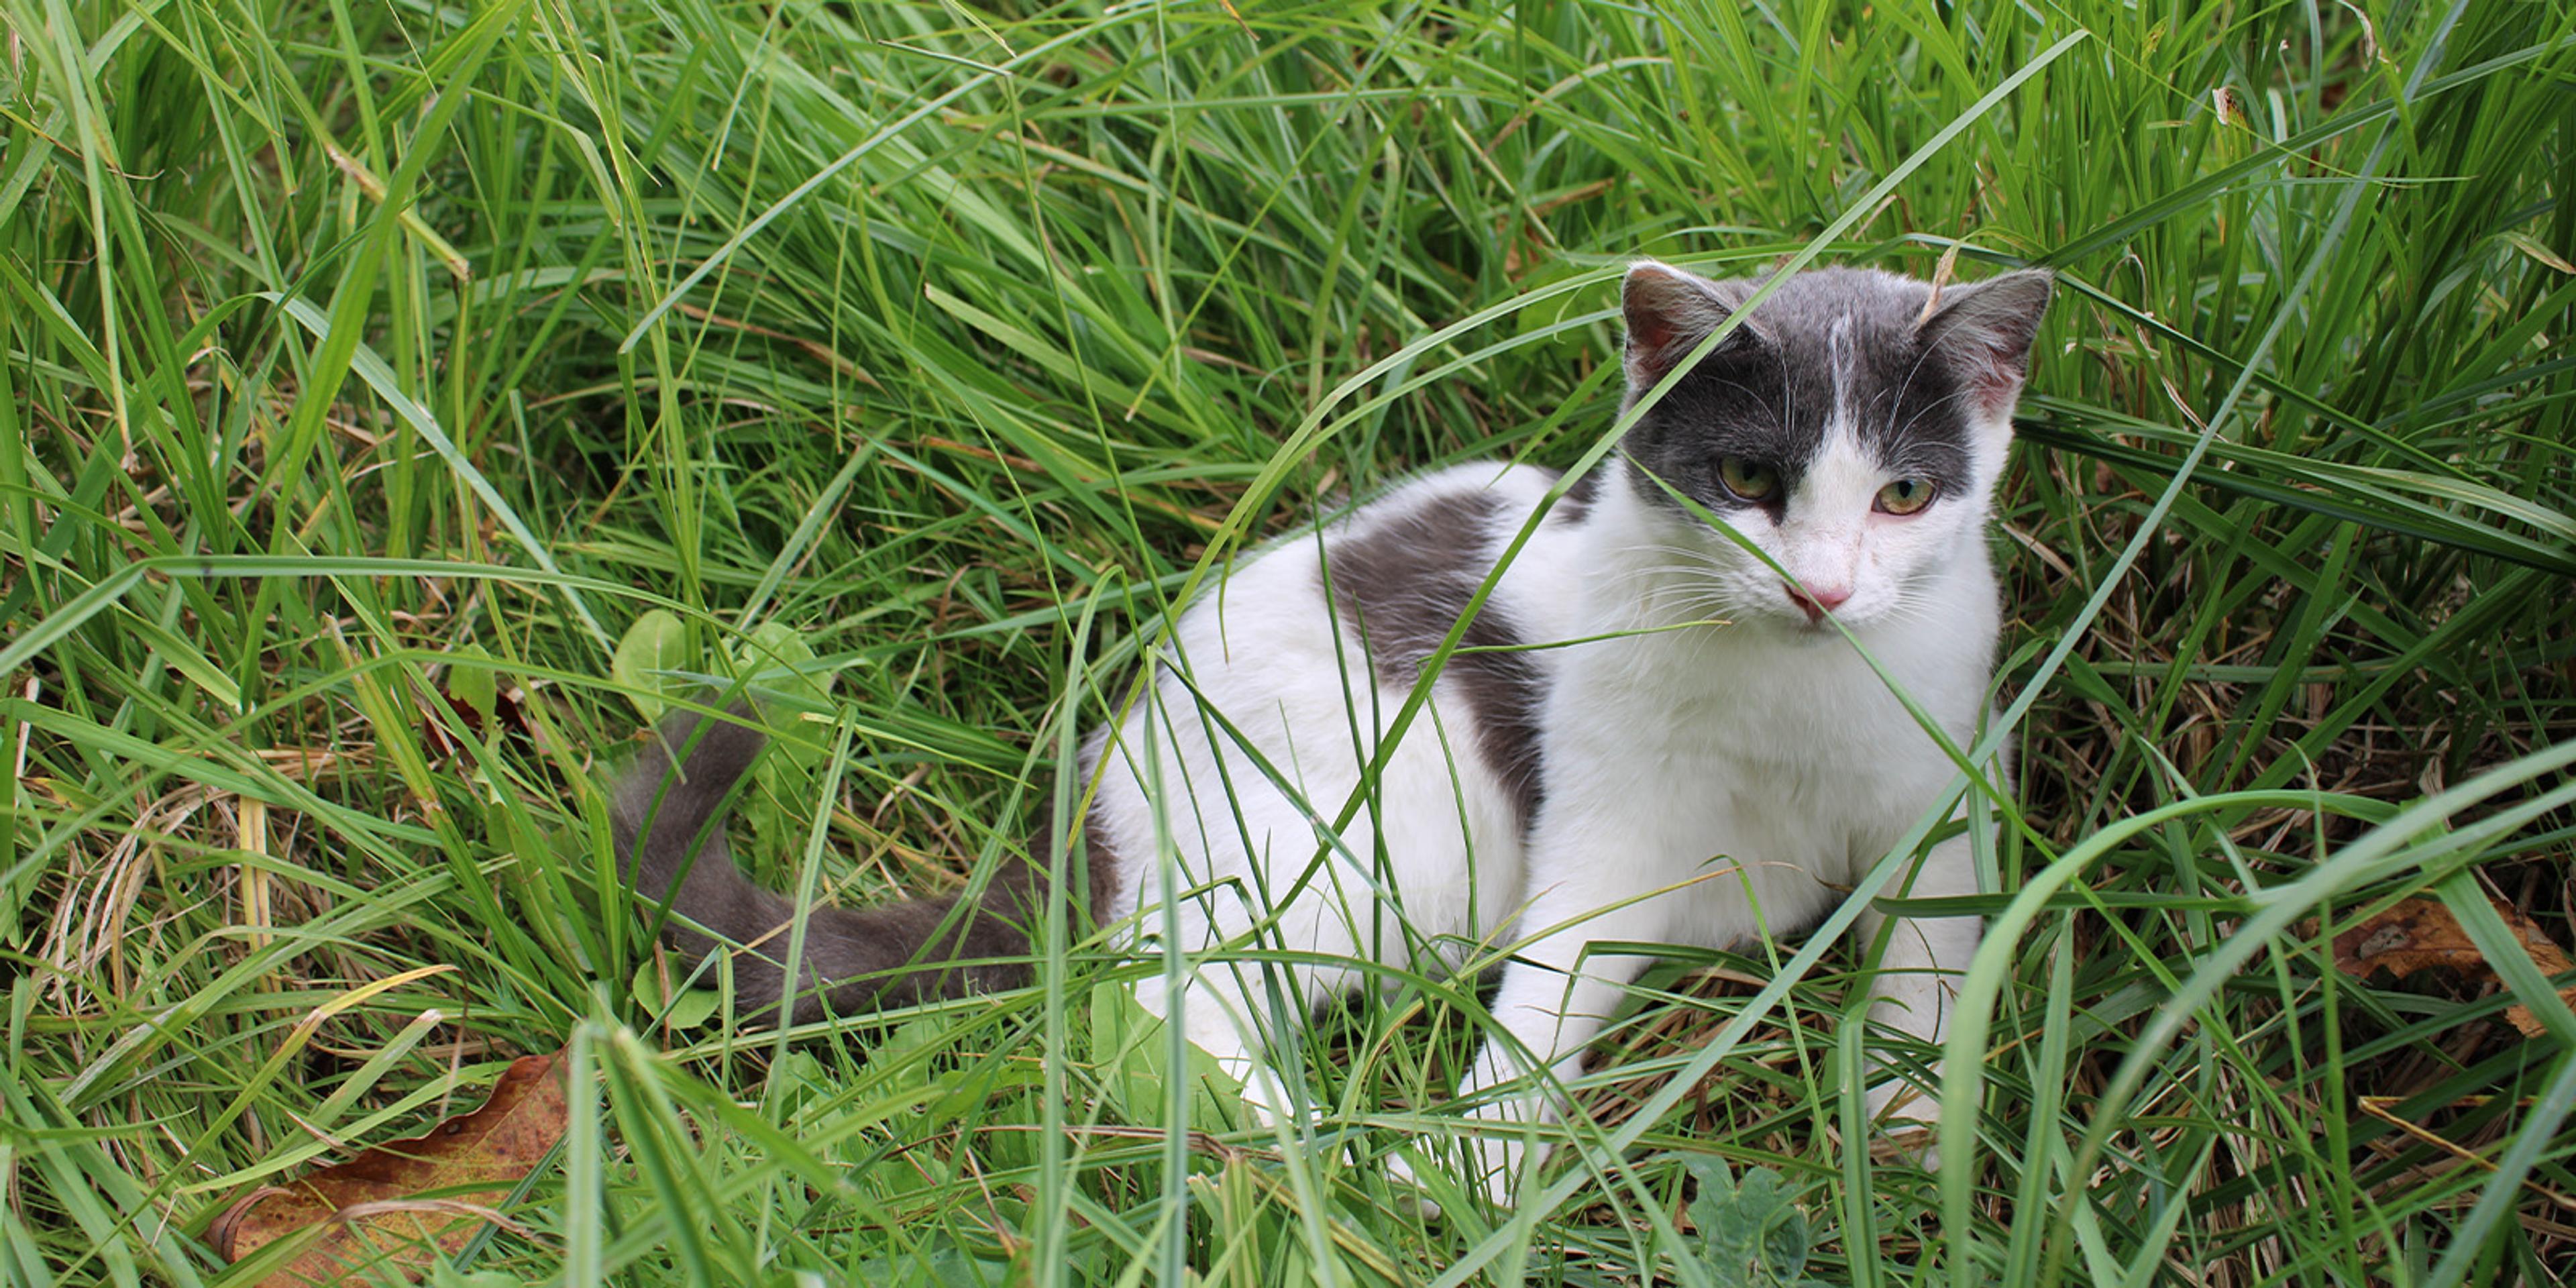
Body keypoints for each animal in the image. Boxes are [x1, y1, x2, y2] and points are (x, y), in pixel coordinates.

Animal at [608, 258, 2050, 1205]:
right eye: (1748, 479)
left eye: (1904, 495)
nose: (1822, 589)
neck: (1794, 693)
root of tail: (1102, 804)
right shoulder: (1611, 802)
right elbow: (1555, 974)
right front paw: (1466, 1161)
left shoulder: (1949, 775)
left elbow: (1937, 949)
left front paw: (1913, 1115)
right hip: (1363, 826)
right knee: (1168, 992)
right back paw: (1308, 1151)